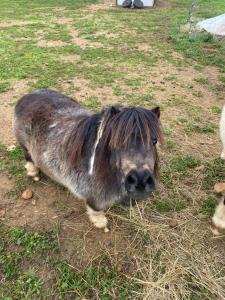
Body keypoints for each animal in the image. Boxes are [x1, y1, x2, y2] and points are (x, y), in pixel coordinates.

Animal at [13, 89, 162, 232]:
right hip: (25, 146)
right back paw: (34, 173)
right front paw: (100, 222)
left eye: (154, 141)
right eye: (116, 142)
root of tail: (30, 95)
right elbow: (96, 208)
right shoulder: (93, 192)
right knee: (28, 157)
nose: (141, 181)